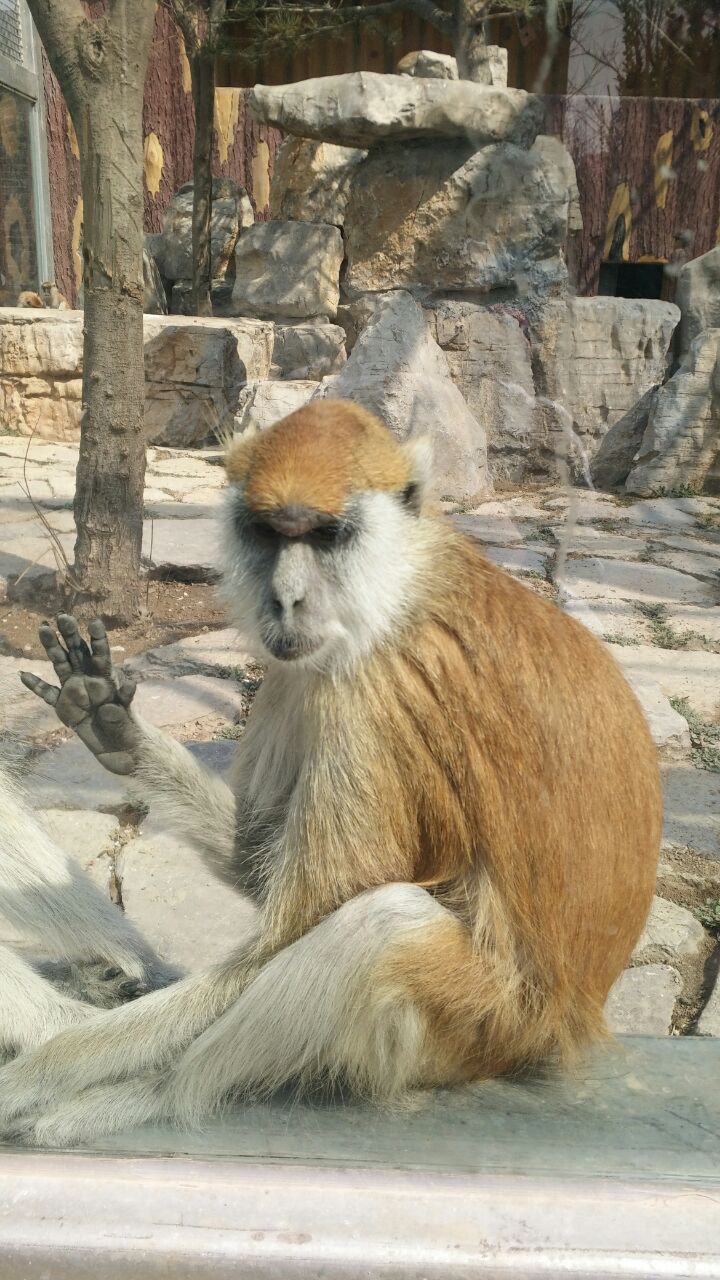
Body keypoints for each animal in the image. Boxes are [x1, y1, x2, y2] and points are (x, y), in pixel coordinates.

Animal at [0, 401, 661, 1152]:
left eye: (324, 535)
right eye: (268, 532)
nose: (285, 599)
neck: (404, 583)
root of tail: (570, 1024)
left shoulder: (363, 691)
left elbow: (293, 931)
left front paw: (42, 1068)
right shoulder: (301, 662)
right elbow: (259, 861)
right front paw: (115, 727)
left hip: (482, 1027)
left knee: (387, 925)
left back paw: (153, 1096)